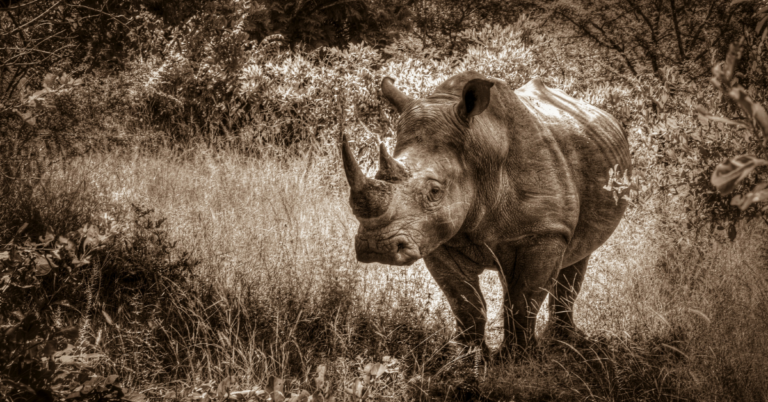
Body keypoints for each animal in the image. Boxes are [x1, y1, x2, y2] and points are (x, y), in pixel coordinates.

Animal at [341, 71, 631, 354]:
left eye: (434, 191)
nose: (376, 246)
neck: (479, 145)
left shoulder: (546, 232)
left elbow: (523, 299)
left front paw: (518, 358)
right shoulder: (436, 236)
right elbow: (464, 301)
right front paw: (470, 356)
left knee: (578, 256)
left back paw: (564, 342)